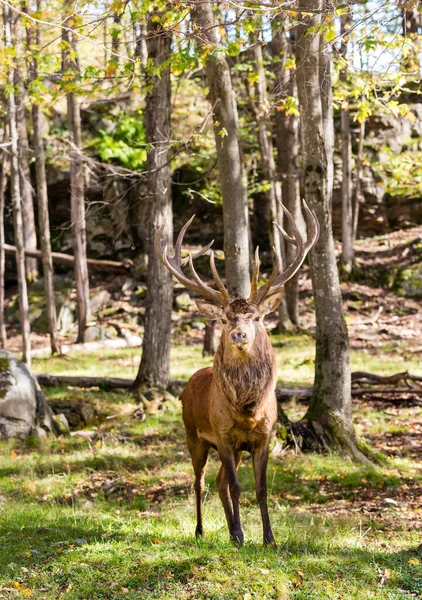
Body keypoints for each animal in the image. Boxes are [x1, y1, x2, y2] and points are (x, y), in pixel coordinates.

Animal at [156, 203, 320, 548]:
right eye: (225, 318)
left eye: (255, 317)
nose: (239, 335)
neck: (247, 411)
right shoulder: (223, 437)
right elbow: (235, 486)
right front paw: (242, 535)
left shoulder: (263, 439)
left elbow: (261, 488)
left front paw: (268, 538)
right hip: (194, 436)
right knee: (200, 481)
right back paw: (202, 530)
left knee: (217, 482)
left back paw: (230, 530)